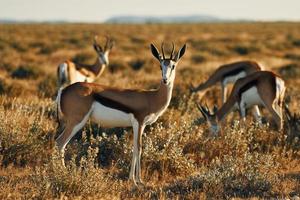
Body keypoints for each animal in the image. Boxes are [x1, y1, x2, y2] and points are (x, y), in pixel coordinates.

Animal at [56, 42, 186, 186]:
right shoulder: (139, 122)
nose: (165, 80)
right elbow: (139, 148)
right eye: (160, 65)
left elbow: (134, 148)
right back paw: (62, 172)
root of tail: (64, 91)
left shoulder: (142, 126)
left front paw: (133, 179)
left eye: (173, 66)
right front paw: (138, 180)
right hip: (76, 121)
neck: (152, 97)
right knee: (60, 142)